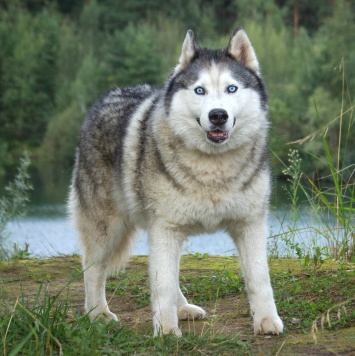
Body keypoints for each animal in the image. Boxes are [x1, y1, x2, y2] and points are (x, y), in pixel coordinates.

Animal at [69, 27, 284, 336]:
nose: (217, 115)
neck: (212, 168)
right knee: (92, 268)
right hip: (108, 228)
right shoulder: (165, 229)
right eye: (199, 90)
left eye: (231, 88)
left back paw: (183, 308)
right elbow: (162, 285)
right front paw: (167, 332)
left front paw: (266, 321)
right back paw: (97, 313)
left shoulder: (250, 225)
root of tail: (106, 97)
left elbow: (259, 279)